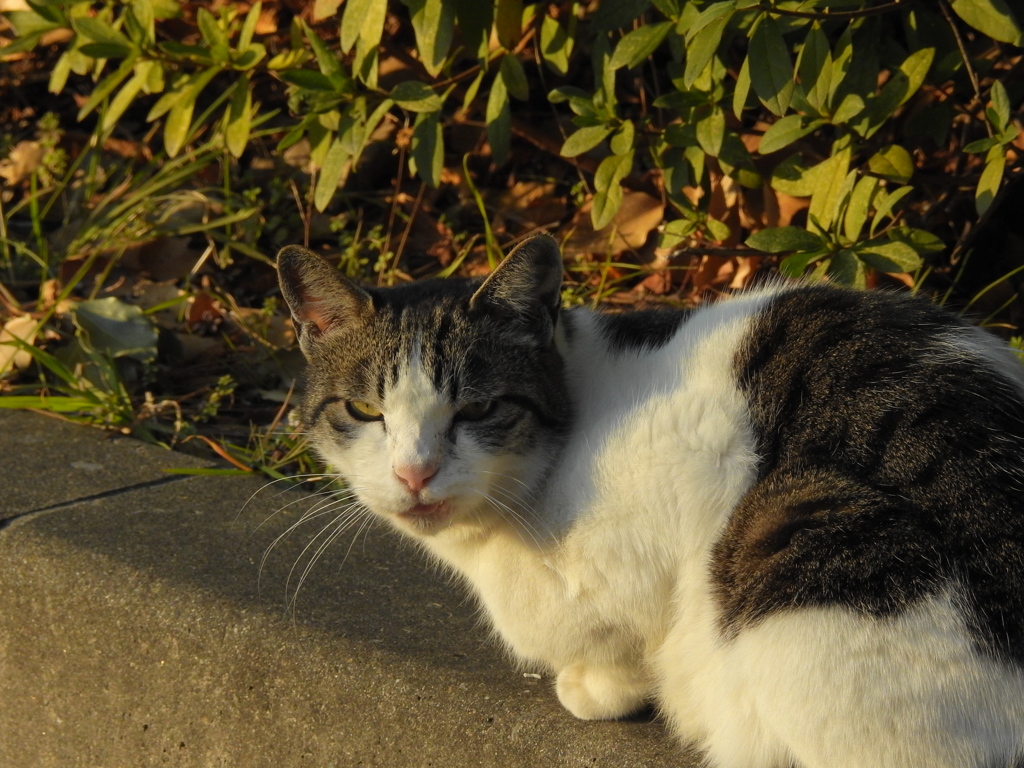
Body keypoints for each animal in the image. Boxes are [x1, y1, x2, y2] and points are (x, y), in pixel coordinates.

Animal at [276, 236, 1024, 768]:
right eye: (364, 411)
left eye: (480, 409)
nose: (415, 473)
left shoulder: (690, 459)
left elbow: (626, 638)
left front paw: (596, 686)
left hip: (799, 539)